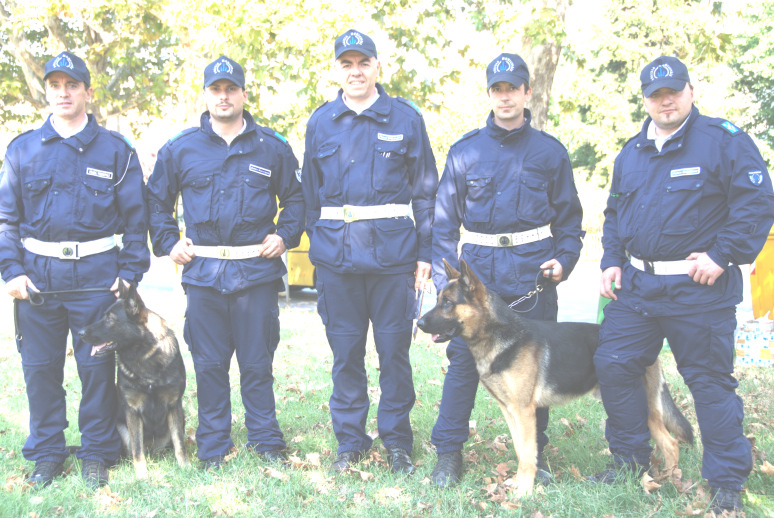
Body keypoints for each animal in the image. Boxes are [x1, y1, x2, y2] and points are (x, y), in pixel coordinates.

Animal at [79, 284, 189, 480]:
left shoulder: (174, 405)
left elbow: (179, 443)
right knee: (131, 451)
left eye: (110, 319)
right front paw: (142, 476)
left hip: (181, 417)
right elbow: (137, 450)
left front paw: (184, 467)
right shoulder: (133, 411)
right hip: (122, 430)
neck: (145, 357)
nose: (80, 332)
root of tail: (153, 449)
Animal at [418, 260, 696, 500]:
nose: (419, 322)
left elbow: (527, 453)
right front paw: (519, 483)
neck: (500, 335)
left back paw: (669, 481)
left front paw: (524, 492)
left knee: (671, 444)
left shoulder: (524, 411)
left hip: (642, 407)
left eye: (447, 303)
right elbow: (520, 450)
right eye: (438, 300)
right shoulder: (510, 411)